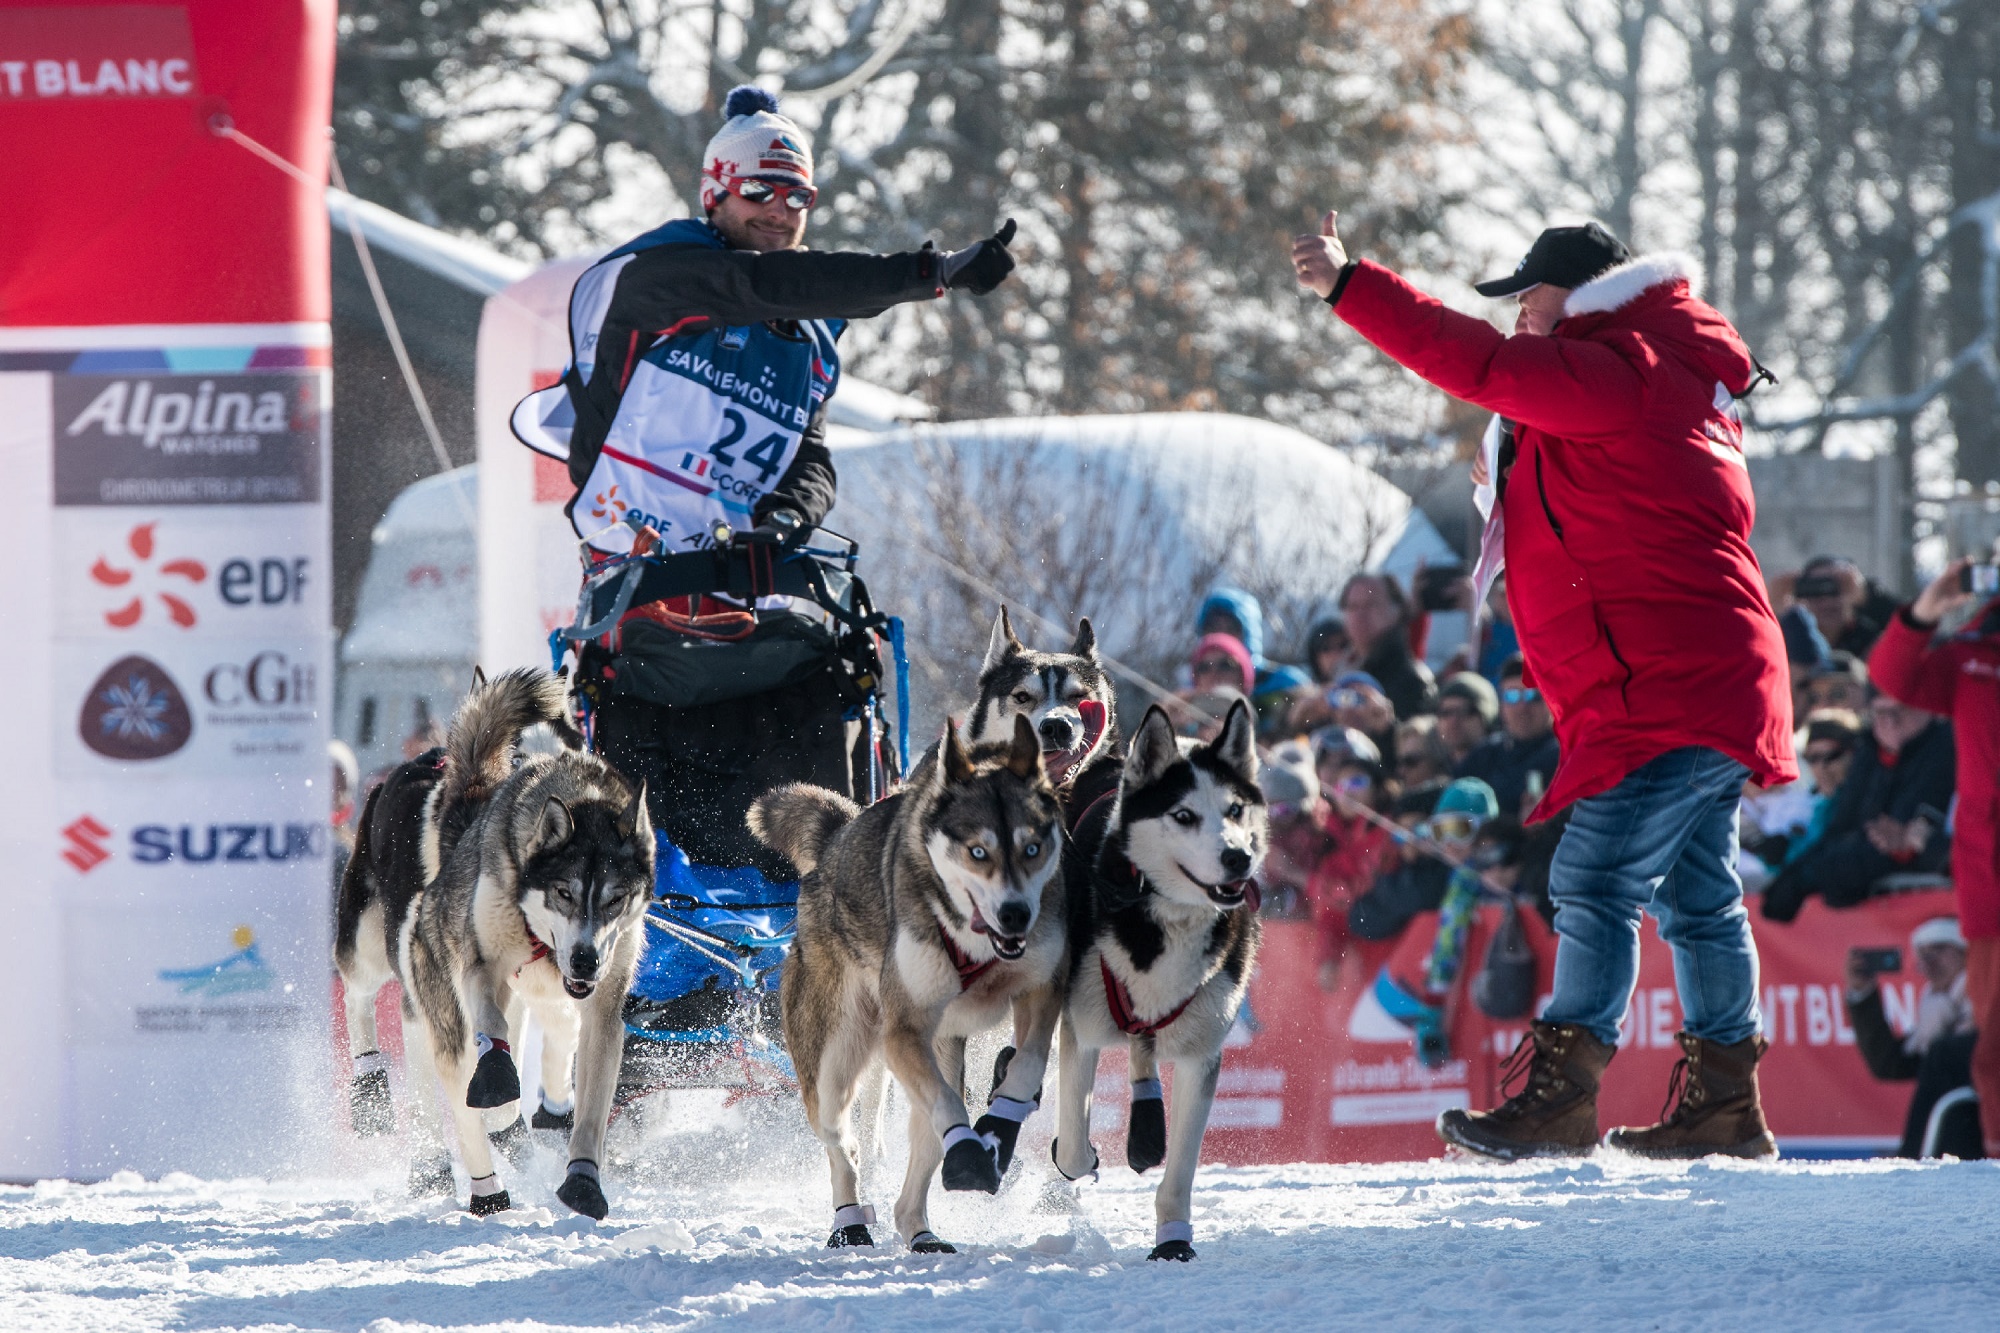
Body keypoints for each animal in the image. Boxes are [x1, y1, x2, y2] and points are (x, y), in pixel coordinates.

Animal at [748, 716, 1064, 1248]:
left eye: (1032, 849)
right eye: (977, 851)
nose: (1015, 914)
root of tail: (835, 844)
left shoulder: (1042, 993)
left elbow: (1024, 1068)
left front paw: (997, 1125)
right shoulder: (903, 1031)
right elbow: (948, 1108)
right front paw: (973, 1153)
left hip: (933, 1056)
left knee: (925, 1146)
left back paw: (919, 1230)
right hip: (834, 1066)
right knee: (844, 1144)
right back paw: (850, 1221)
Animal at [1048, 696, 1264, 1256]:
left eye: (1235, 810)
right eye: (1183, 815)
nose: (1238, 858)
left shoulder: (1201, 1056)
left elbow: (1180, 1170)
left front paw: (1173, 1240)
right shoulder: (1082, 1029)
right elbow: (1073, 1148)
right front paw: (1083, 1154)